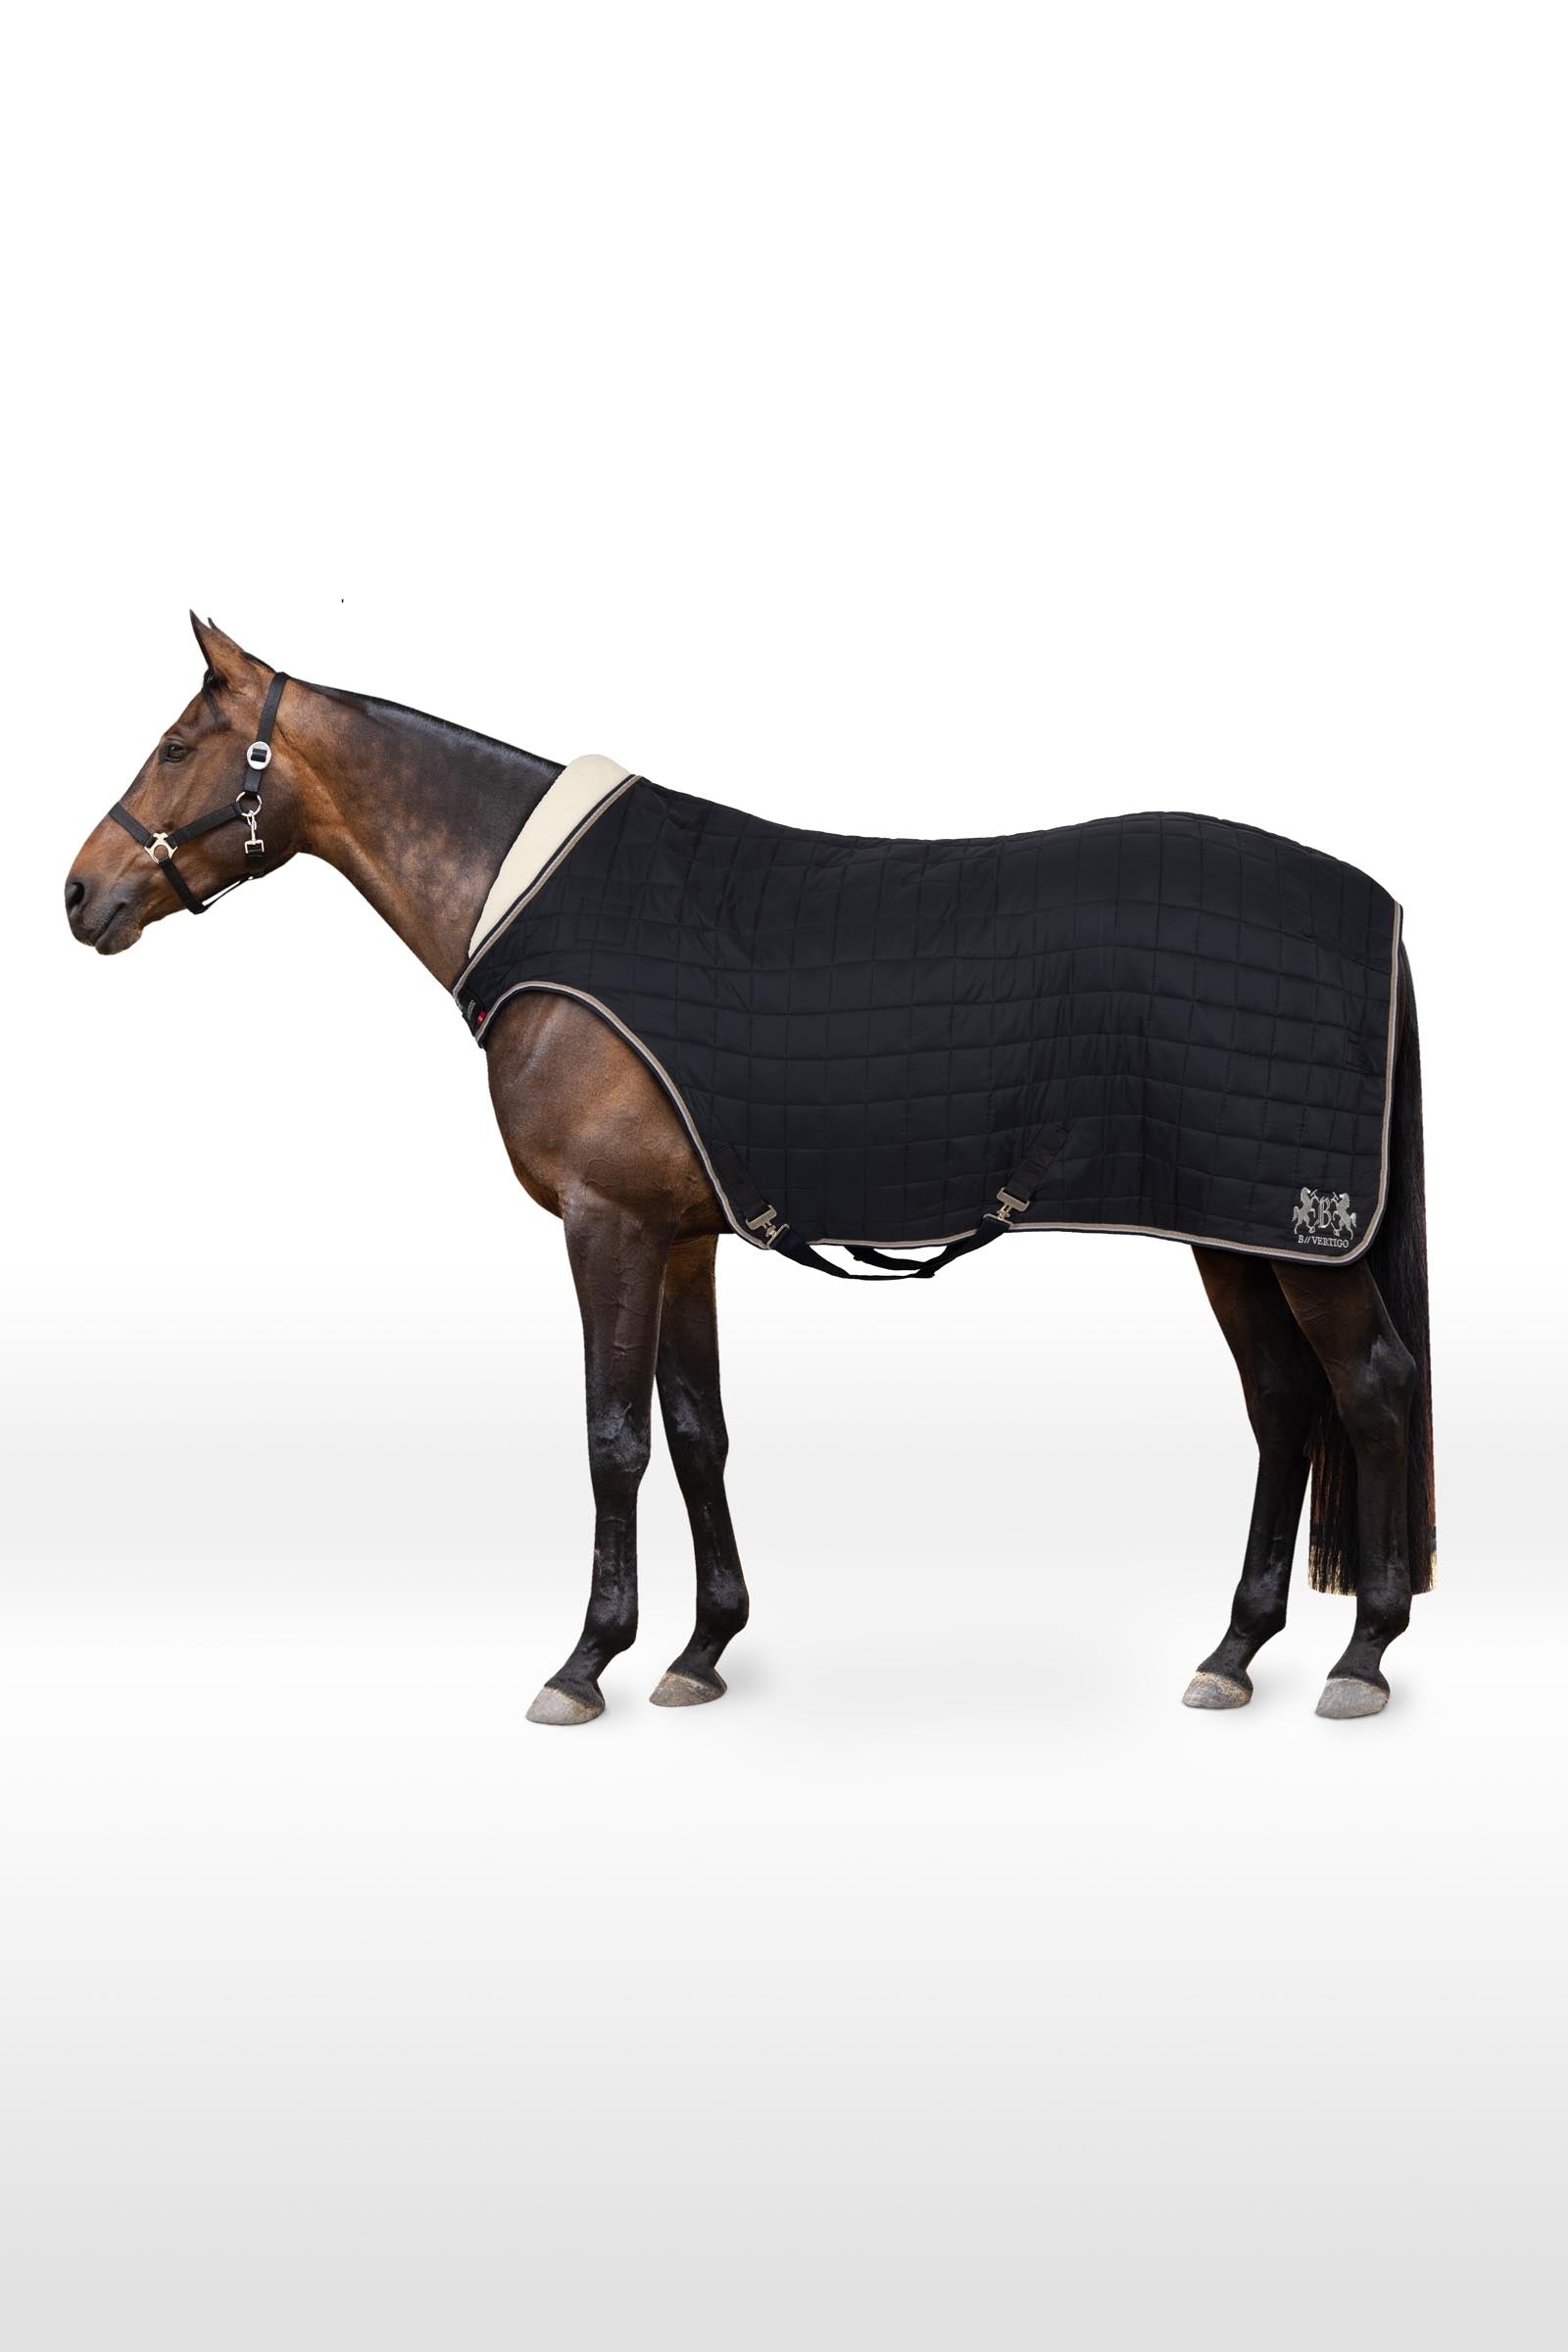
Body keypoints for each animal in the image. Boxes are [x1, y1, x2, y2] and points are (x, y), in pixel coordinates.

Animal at [64, 618, 1436, 1726]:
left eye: (179, 745)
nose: (80, 894)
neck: (532, 904)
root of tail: (1376, 910)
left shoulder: (605, 1225)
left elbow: (612, 1437)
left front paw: (586, 1664)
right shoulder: (678, 1235)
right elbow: (696, 1431)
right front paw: (700, 1650)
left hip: (1294, 1236)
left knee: (1369, 1389)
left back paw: (1362, 1655)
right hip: (1233, 1233)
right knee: (1283, 1405)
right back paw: (1235, 1651)